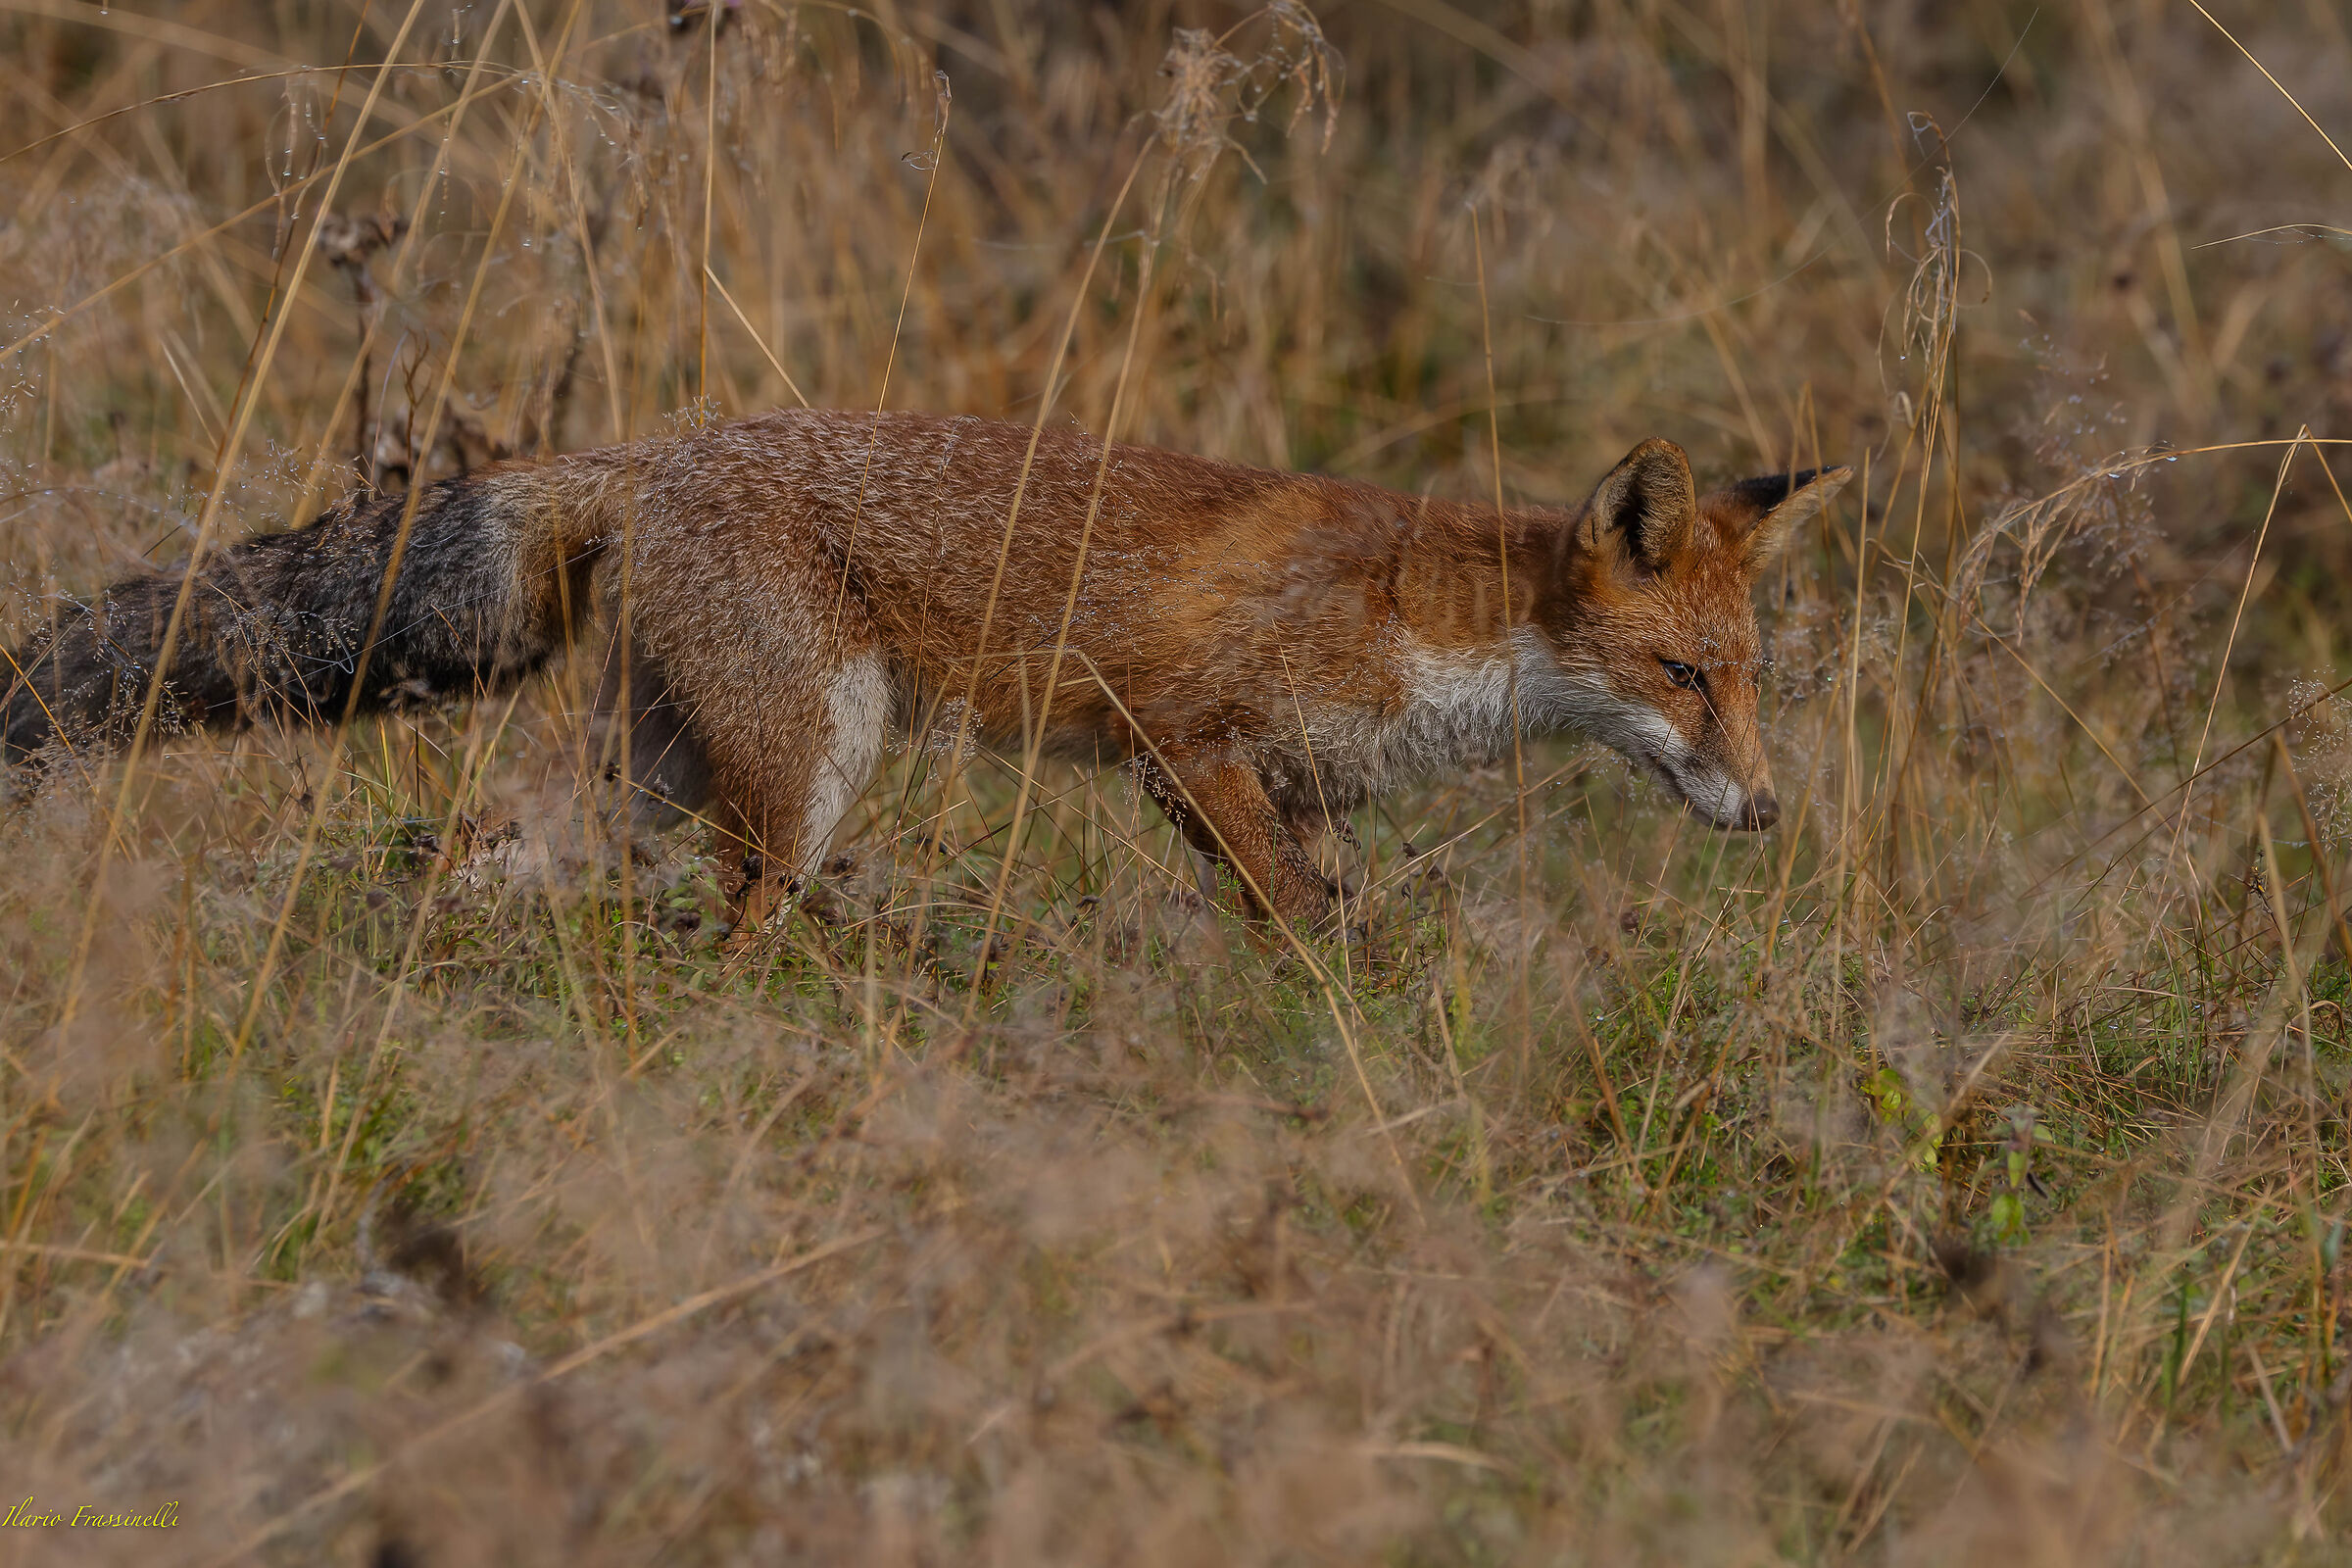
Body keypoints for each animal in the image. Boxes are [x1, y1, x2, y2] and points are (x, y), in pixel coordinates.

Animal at [1, 410, 1848, 935]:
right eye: (1684, 676)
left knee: (474, 851)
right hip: (804, 771)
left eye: (1753, 681)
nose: (1771, 813)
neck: (1432, 629)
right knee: (737, 921)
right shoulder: (1188, 745)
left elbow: (1336, 917)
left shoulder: (1303, 790)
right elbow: (1299, 924)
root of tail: (649, 451)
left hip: (653, 773)